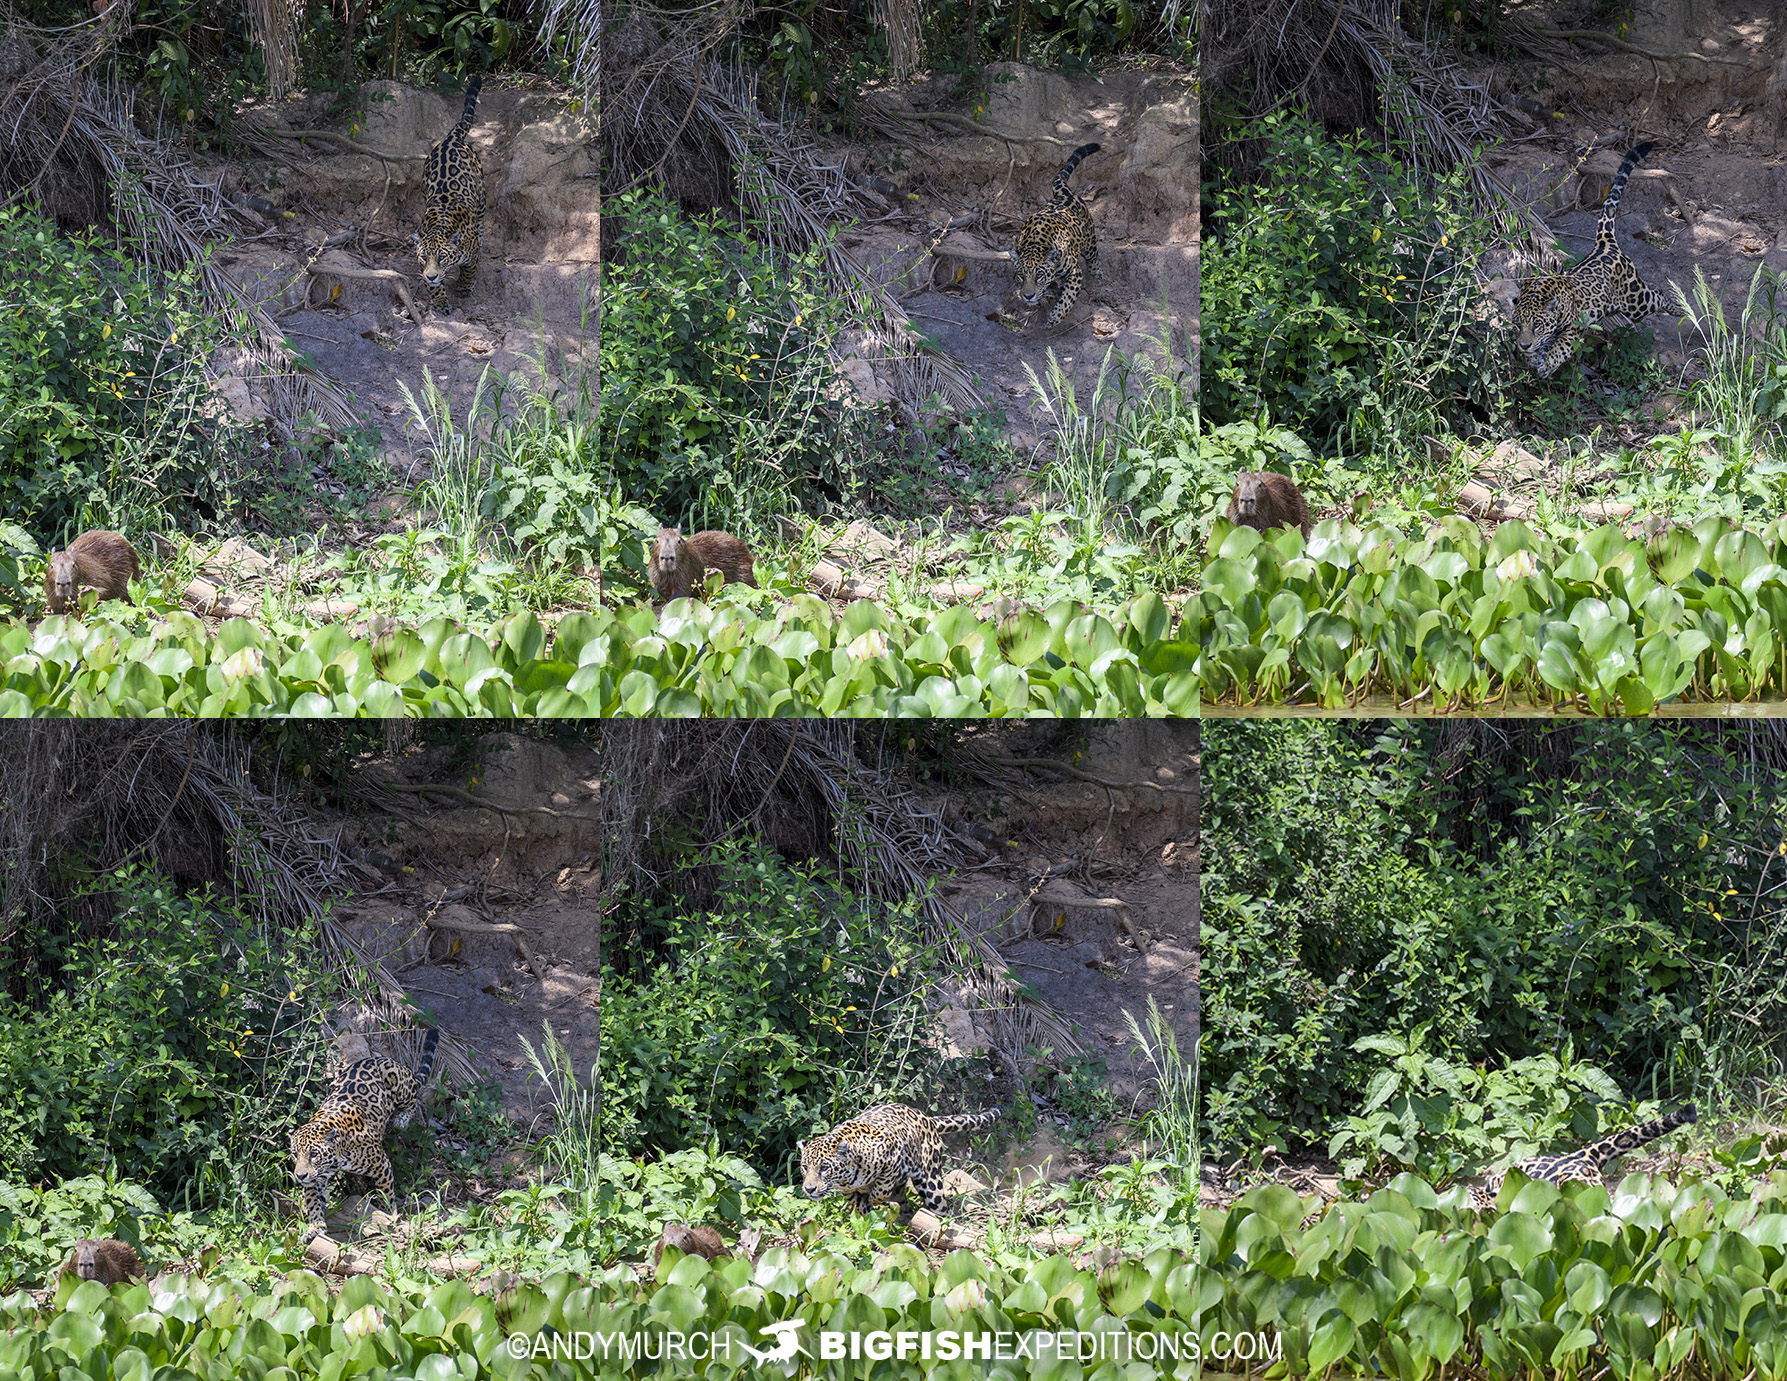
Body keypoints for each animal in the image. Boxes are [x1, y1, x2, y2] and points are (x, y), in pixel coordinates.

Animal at [290, 1028, 440, 1244]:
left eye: (314, 1154)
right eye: (295, 1154)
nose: (300, 1175)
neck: (338, 1154)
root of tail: (383, 1059)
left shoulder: (382, 1165)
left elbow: (386, 1193)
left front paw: (390, 1215)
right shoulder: (314, 1180)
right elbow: (313, 1203)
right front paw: (315, 1228)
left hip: (399, 1083)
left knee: (412, 1099)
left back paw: (400, 1119)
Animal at [413, 76, 487, 312]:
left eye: (442, 258)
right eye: (424, 258)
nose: (432, 275)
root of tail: (450, 139)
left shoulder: (471, 257)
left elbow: (469, 270)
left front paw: (463, 289)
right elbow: (434, 288)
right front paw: (440, 301)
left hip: (482, 197)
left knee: (481, 221)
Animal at [799, 1103, 1001, 1216]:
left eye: (824, 1168)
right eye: (805, 1168)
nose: (809, 1189)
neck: (848, 1178)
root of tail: (928, 1118)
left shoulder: (893, 1153)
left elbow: (880, 1190)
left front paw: (875, 1200)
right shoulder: (847, 1191)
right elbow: (860, 1204)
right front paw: (869, 1211)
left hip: (931, 1184)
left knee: (942, 1207)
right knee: (903, 1203)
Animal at [1014, 142, 1101, 328]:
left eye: (1038, 276)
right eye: (1020, 276)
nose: (1028, 296)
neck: (1035, 243)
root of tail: (1064, 193)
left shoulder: (1074, 272)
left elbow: (1068, 297)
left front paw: (1055, 317)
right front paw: (1049, 292)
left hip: (1089, 240)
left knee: (1093, 257)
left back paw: (1097, 274)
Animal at [1512, 141, 1667, 378]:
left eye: (1537, 325)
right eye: (1519, 325)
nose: (1524, 345)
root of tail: (1605, 243)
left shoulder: (1572, 330)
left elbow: (1560, 349)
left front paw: (1547, 364)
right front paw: (1534, 358)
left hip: (1635, 301)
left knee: (1658, 296)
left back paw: (1678, 306)